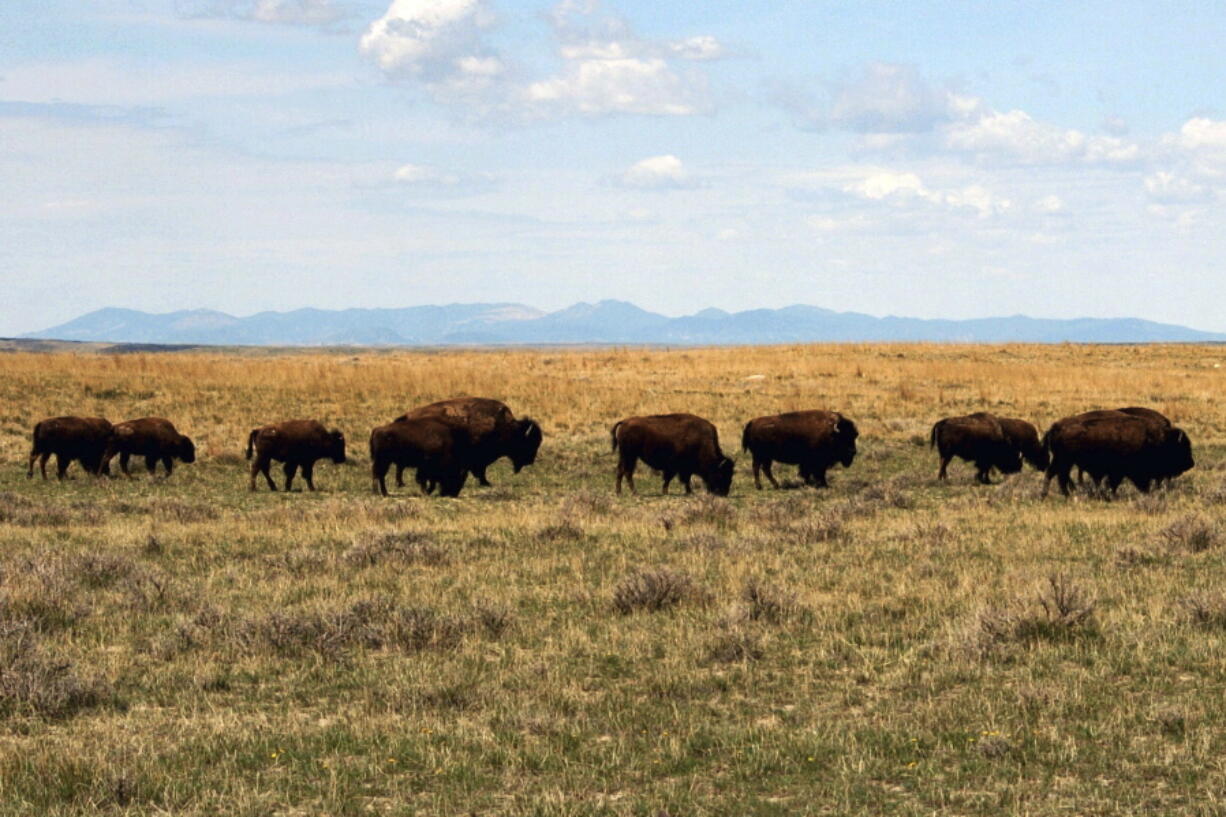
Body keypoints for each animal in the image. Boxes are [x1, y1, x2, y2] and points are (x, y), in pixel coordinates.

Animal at [397, 395, 541, 485]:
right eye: (527, 442)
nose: (530, 460)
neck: (502, 424)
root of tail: (407, 416)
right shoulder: (479, 458)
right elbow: (480, 470)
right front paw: (485, 482)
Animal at [1039, 407, 1191, 495]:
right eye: (1180, 448)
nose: (1191, 463)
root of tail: (1055, 427)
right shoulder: (1119, 471)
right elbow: (1114, 483)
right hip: (1064, 460)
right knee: (1059, 475)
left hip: (1062, 460)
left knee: (1055, 474)